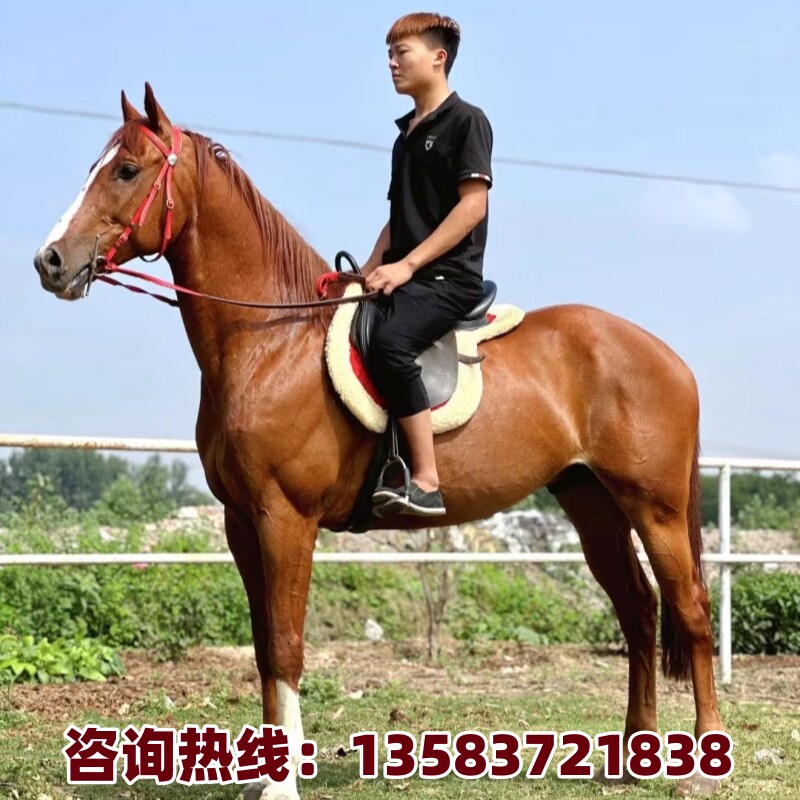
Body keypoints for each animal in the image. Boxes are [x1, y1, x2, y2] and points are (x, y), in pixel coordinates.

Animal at [33, 84, 724, 798]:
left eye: (126, 170)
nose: (49, 262)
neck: (272, 342)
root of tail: (668, 358)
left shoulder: (286, 518)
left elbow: (286, 645)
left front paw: (282, 782)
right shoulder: (241, 521)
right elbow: (262, 645)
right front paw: (263, 774)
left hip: (655, 507)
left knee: (691, 612)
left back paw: (702, 759)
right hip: (591, 501)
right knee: (639, 612)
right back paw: (633, 758)